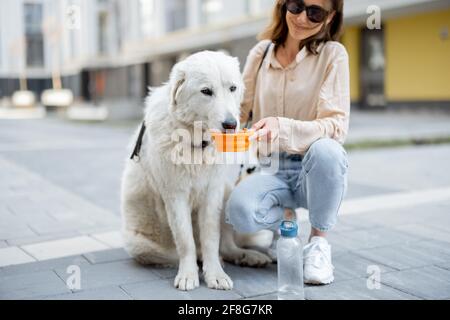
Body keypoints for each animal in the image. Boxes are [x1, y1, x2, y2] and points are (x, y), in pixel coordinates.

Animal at [119, 50, 272, 292]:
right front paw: (189, 275)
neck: (196, 142)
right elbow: (185, 240)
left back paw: (247, 256)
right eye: (206, 91)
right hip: (138, 244)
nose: (231, 124)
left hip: (227, 191)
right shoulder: (175, 196)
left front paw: (215, 275)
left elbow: (211, 238)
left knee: (226, 247)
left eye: (232, 88)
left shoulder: (213, 193)